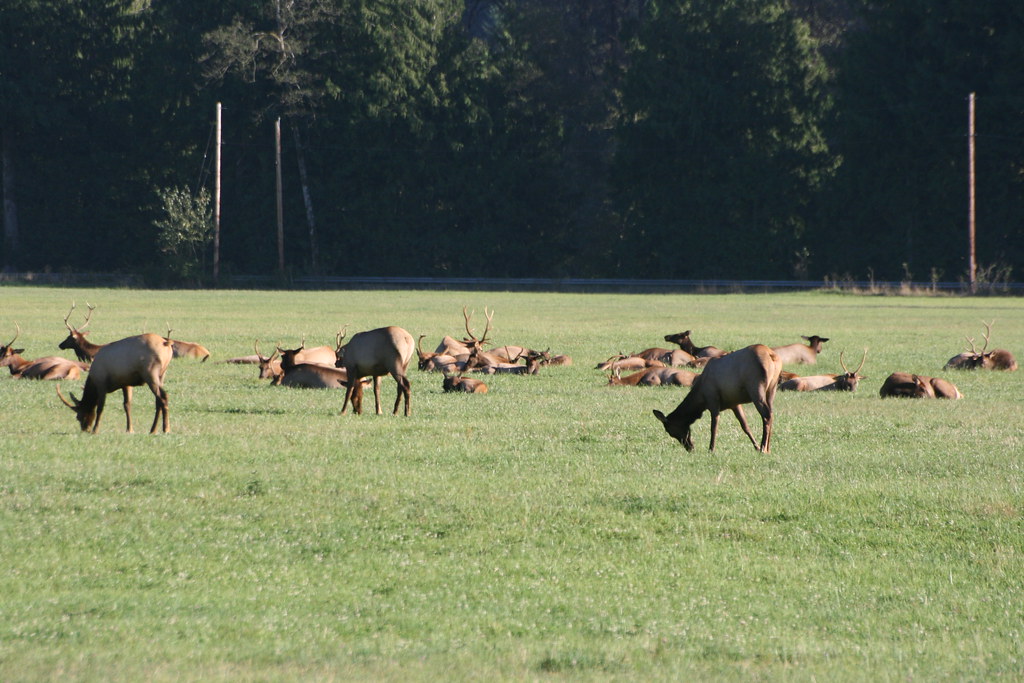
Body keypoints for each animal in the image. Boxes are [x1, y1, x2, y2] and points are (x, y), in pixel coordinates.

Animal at [653, 344, 783, 453]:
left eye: (671, 431)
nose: (689, 447)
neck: (701, 398)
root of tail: (772, 356)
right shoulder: (734, 403)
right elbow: (745, 426)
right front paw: (755, 446)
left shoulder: (713, 400)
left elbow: (713, 427)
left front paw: (711, 449)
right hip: (772, 389)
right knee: (771, 414)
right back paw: (768, 448)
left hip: (756, 388)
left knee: (766, 415)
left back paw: (763, 448)